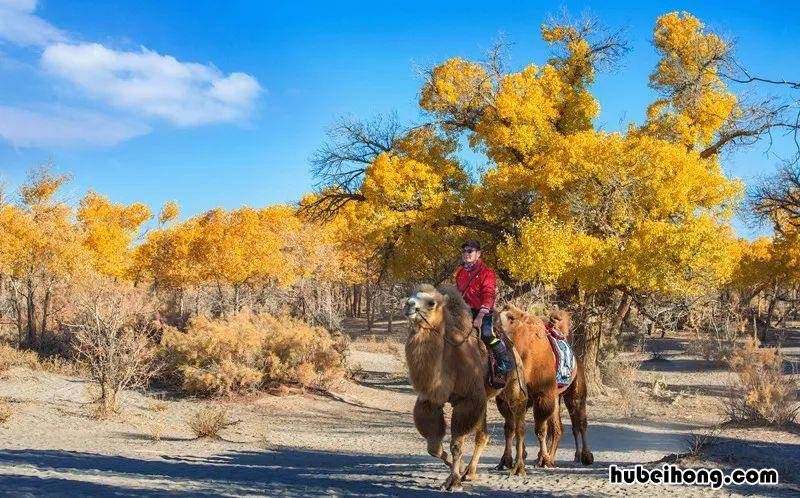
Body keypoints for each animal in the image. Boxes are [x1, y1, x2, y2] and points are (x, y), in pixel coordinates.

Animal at [404, 284, 528, 490]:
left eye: (431, 303)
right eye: (411, 295)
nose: (409, 305)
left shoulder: (466, 399)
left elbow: (456, 443)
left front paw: (453, 481)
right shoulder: (430, 399)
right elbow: (433, 447)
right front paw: (460, 469)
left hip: (513, 389)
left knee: (519, 427)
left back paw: (518, 468)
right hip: (485, 398)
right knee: (483, 435)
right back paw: (470, 472)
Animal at [494, 304, 592, 470]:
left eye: (511, 318)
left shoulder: (542, 393)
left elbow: (540, 430)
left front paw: (544, 460)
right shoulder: (505, 398)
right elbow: (510, 428)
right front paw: (505, 460)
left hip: (574, 391)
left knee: (579, 420)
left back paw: (584, 456)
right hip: (555, 396)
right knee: (558, 428)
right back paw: (548, 457)